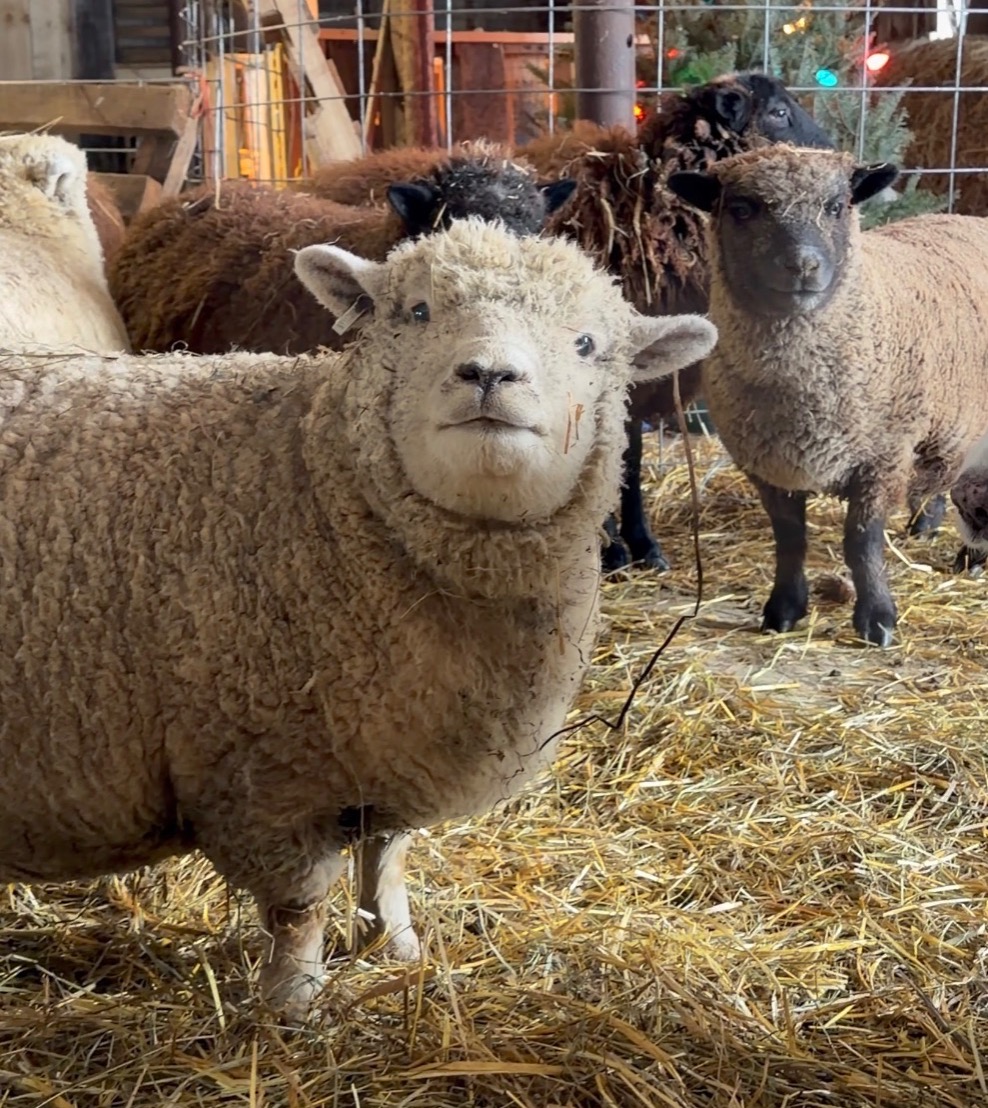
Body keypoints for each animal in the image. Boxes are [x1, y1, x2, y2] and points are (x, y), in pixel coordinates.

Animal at [0, 217, 717, 1017]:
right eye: (417, 311)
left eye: (588, 343)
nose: (489, 375)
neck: (316, 478)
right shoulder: (263, 775)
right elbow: (300, 906)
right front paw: (295, 1003)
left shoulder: (387, 748)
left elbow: (387, 859)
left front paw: (396, 948)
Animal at [520, 72, 836, 574]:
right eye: (779, 112)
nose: (834, 156)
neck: (646, 210)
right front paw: (610, 546)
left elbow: (628, 457)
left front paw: (642, 544)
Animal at [666, 144, 988, 647]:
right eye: (742, 208)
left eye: (836, 206)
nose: (802, 265)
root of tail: (969, 218)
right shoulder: (766, 463)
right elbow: (789, 538)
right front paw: (784, 609)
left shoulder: (881, 456)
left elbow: (862, 542)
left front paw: (877, 619)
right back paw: (926, 526)